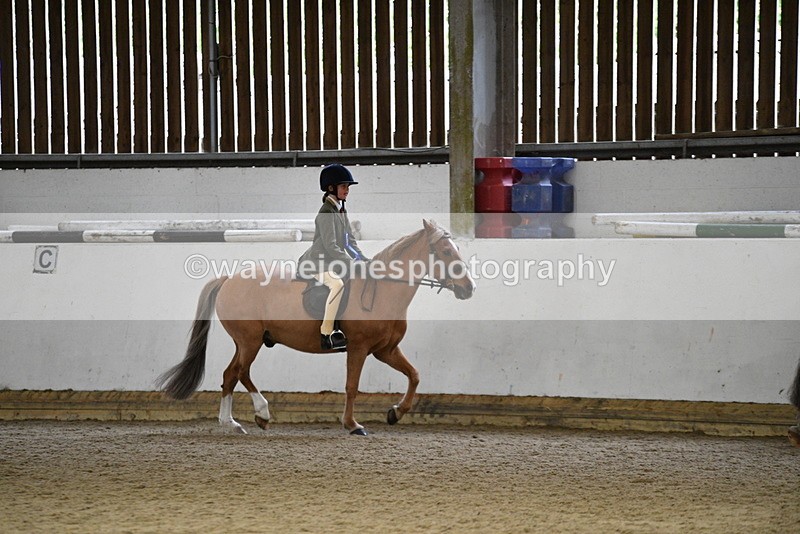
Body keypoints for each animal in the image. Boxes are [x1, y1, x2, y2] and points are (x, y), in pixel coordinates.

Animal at [157, 219, 476, 435]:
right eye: (446, 251)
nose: (468, 288)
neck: (384, 290)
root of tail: (227, 280)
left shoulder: (385, 350)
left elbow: (415, 375)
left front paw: (396, 413)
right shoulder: (359, 348)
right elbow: (351, 386)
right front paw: (352, 424)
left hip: (247, 341)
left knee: (232, 374)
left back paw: (239, 421)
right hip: (250, 340)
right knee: (239, 372)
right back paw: (254, 415)